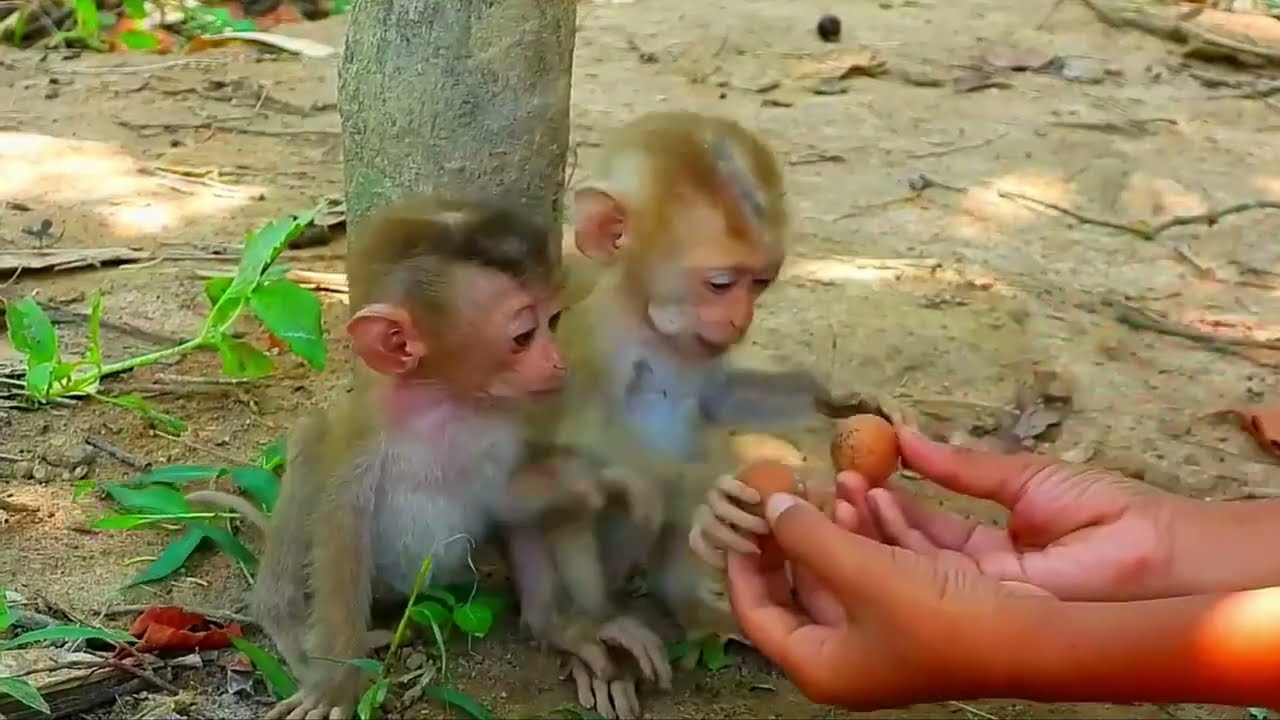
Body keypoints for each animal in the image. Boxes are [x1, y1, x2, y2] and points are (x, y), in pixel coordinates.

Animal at [511, 111, 855, 718]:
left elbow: (719, 399)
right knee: (582, 500)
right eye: (720, 284)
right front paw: (709, 492)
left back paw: (690, 605)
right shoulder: (587, 340)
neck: (651, 327)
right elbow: (571, 444)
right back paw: (581, 628)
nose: (740, 319)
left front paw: (827, 398)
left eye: (759, 283)